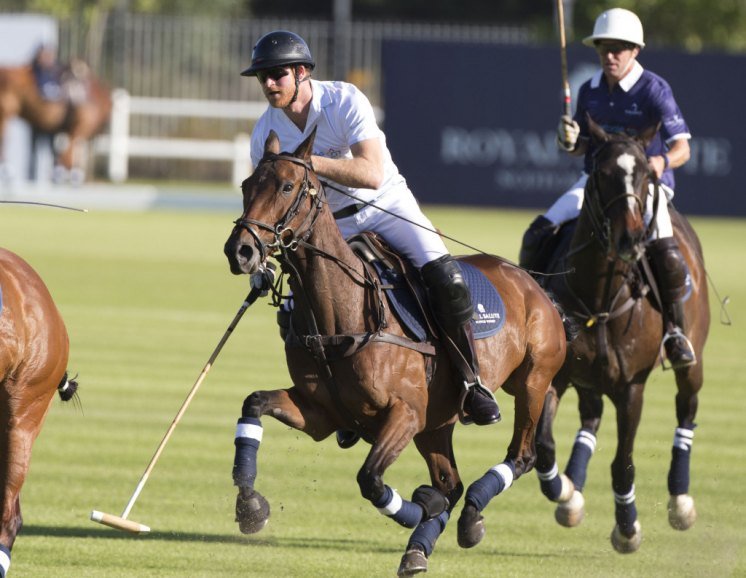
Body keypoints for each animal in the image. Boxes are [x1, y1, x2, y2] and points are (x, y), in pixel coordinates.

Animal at [221, 128, 564, 572]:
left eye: (287, 186)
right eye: (247, 185)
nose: (240, 251)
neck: (341, 314)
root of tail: (534, 282)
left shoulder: (405, 412)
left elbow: (370, 479)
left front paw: (422, 505)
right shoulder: (320, 414)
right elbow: (254, 403)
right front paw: (250, 507)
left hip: (533, 380)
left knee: (519, 456)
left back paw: (470, 510)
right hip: (437, 423)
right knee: (451, 482)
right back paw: (424, 547)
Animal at [528, 116, 708, 548]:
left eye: (645, 174)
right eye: (602, 173)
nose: (631, 238)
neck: (601, 297)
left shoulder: (631, 388)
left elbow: (622, 462)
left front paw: (628, 527)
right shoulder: (558, 375)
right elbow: (543, 446)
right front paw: (566, 492)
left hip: (692, 360)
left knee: (687, 409)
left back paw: (680, 501)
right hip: (589, 379)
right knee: (590, 419)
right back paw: (574, 489)